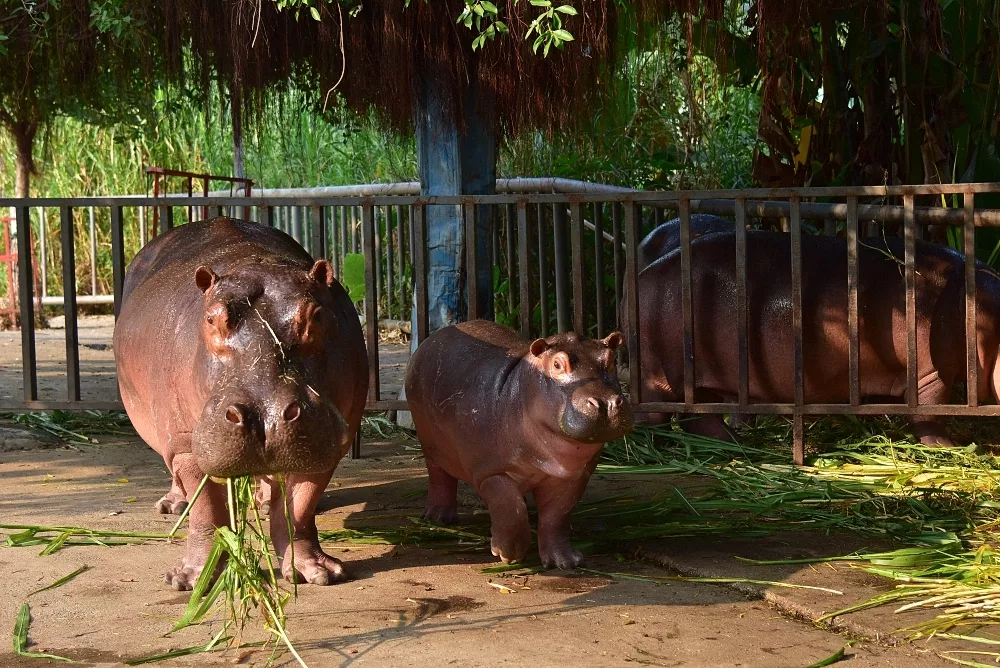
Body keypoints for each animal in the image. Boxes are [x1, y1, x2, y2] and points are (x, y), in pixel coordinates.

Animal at [113, 217, 370, 588]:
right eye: (211, 318)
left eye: (317, 315)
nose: (266, 418)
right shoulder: (186, 444)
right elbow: (207, 511)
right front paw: (191, 580)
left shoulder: (330, 443)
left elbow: (299, 508)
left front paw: (319, 572)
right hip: (169, 434)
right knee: (175, 473)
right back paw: (174, 505)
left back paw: (262, 500)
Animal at [404, 320, 632, 568]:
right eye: (557, 364)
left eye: (611, 360)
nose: (606, 403)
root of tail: (434, 337)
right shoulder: (492, 472)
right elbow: (510, 510)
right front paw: (508, 554)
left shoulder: (573, 477)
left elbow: (556, 517)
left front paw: (566, 562)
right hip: (431, 445)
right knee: (439, 477)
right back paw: (438, 519)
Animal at [636, 232, 1000, 446]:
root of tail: (644, 273)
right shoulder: (930, 373)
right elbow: (930, 415)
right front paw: (957, 448)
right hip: (659, 375)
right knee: (657, 416)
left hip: (697, 380)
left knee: (700, 416)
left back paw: (736, 445)